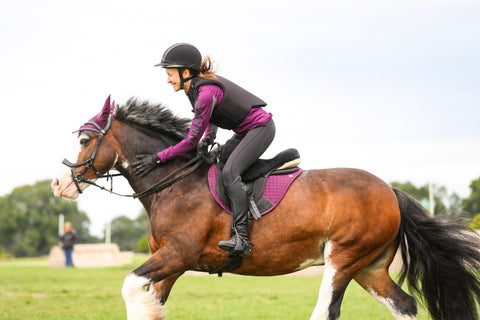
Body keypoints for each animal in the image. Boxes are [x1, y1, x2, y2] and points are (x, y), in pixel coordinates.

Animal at [51, 97, 480, 320]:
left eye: (85, 140)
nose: (59, 184)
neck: (172, 181)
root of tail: (390, 190)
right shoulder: (171, 263)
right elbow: (149, 304)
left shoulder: (177, 255)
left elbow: (129, 288)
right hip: (369, 268)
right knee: (404, 305)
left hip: (344, 257)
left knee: (326, 311)